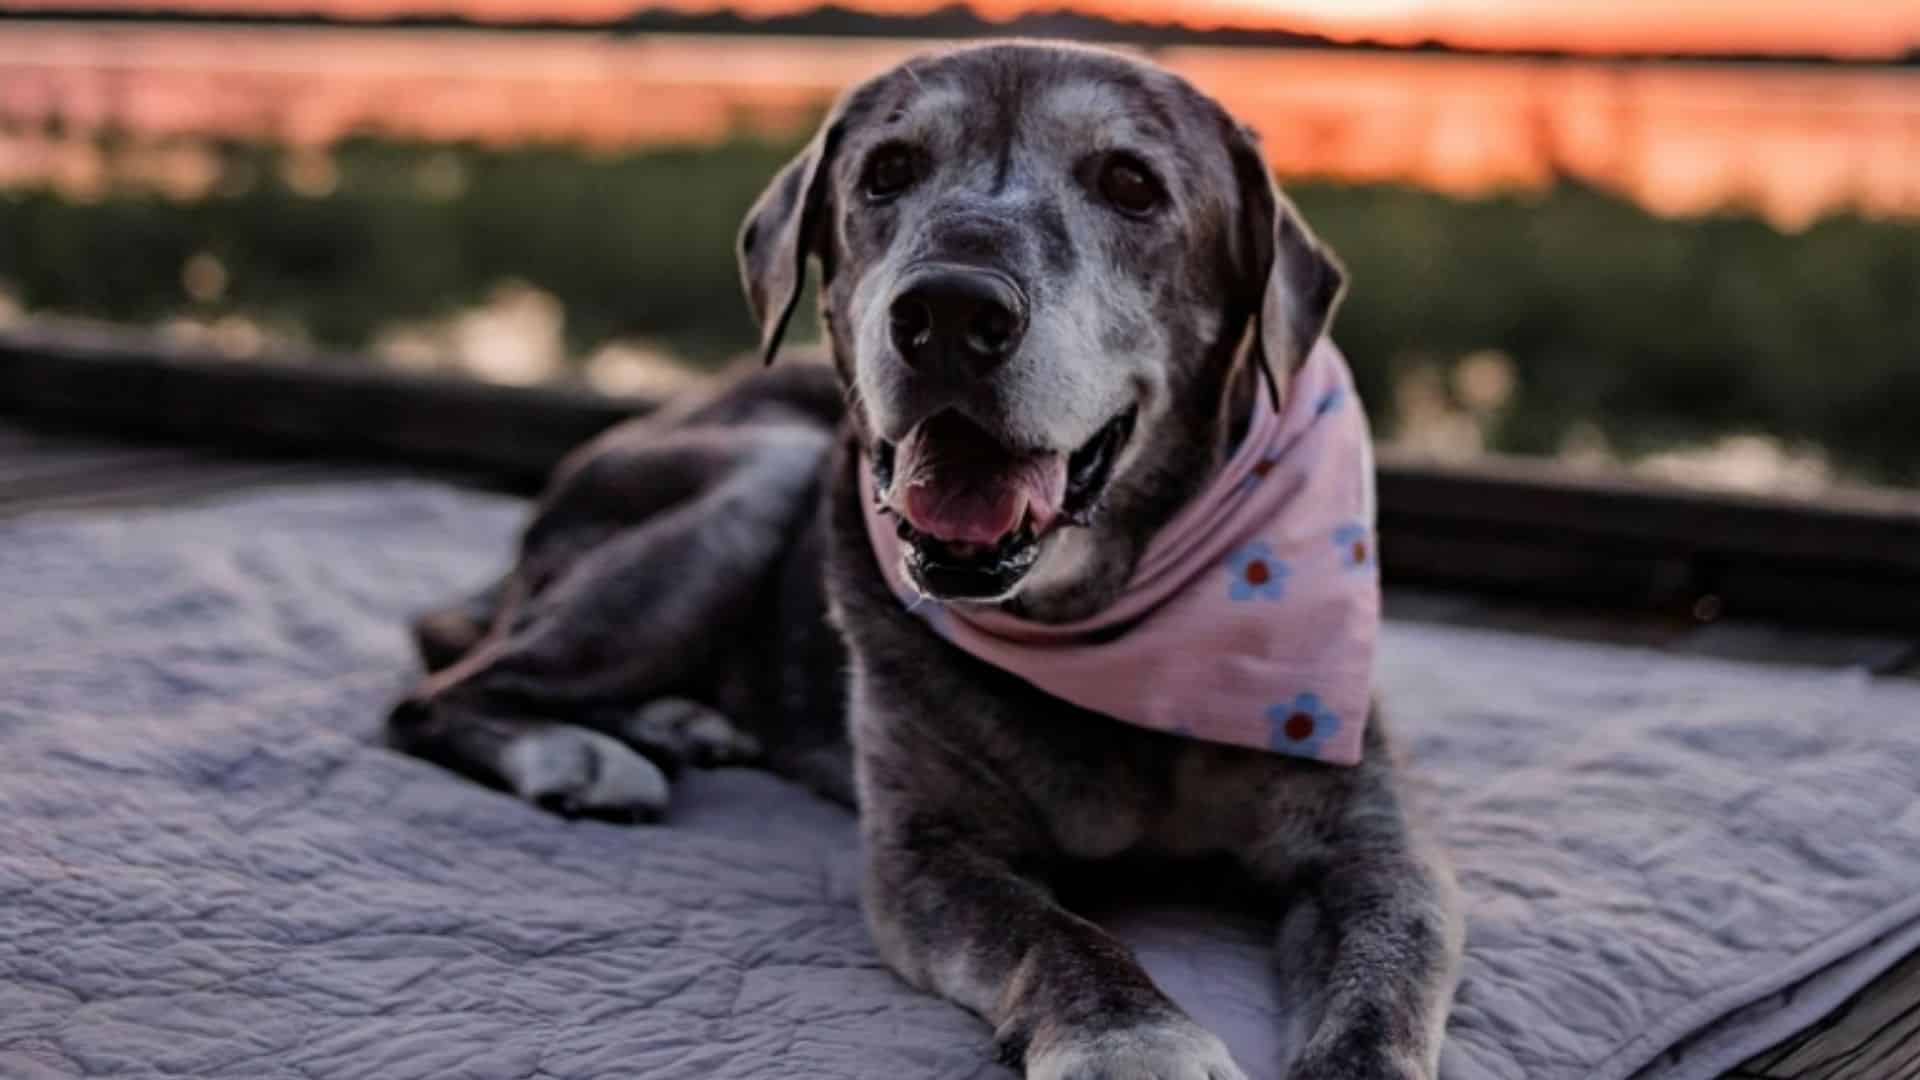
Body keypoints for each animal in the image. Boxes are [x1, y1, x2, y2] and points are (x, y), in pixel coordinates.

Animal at [397, 39, 1459, 1076]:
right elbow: (1054, 934)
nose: (949, 310)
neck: (1105, 629)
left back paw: (678, 721)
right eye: (888, 171)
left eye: (1130, 183)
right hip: (759, 477)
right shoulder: (927, 852)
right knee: (441, 690)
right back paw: (580, 752)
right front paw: (1132, 1039)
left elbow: (1383, 980)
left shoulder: (1379, 853)